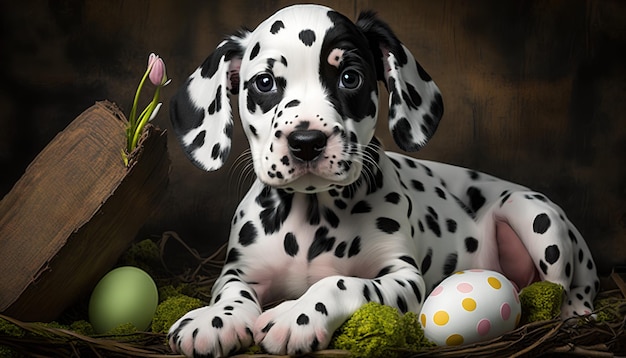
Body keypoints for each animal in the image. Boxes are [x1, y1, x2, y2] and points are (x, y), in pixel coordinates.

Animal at [168, 4, 596, 356]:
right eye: (264, 82)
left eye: (350, 77)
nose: (306, 142)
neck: (312, 215)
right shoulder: (238, 270)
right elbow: (232, 292)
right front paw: (216, 318)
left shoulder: (403, 279)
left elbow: (342, 283)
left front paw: (299, 314)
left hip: (534, 214)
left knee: (562, 287)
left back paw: (574, 312)